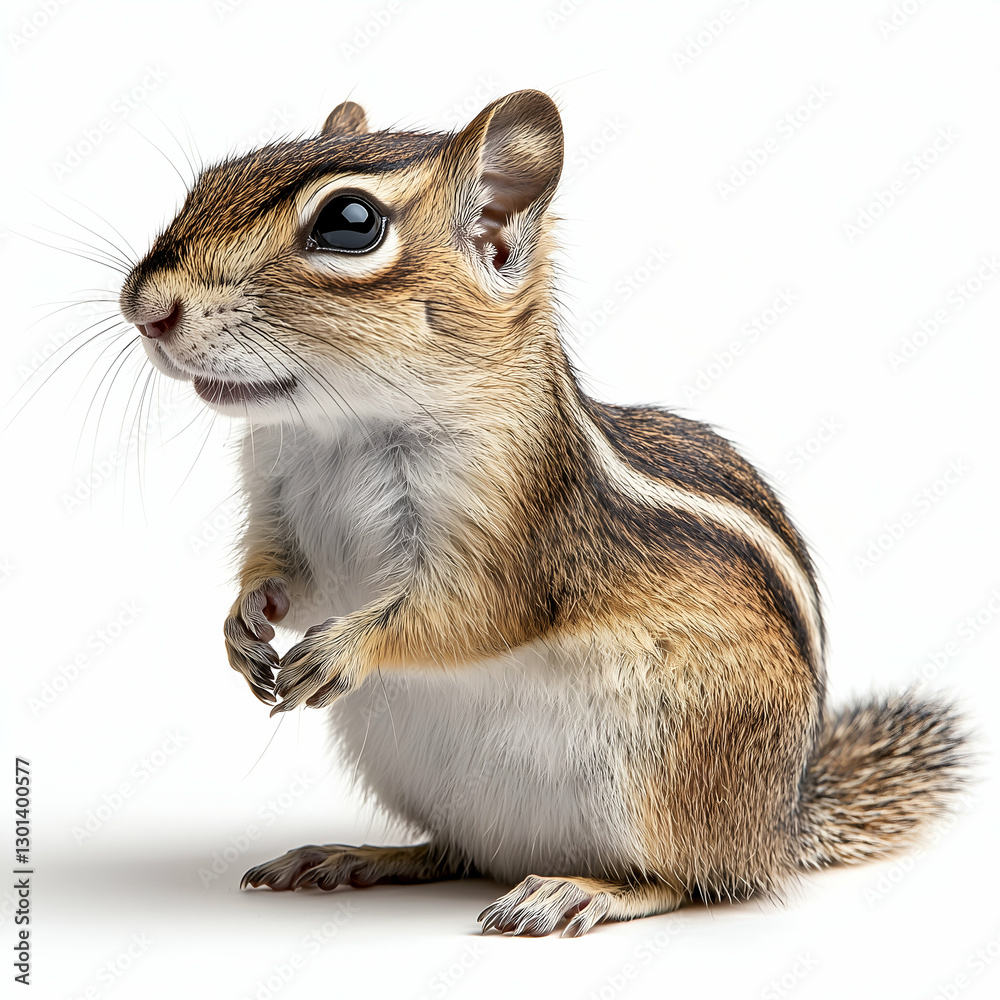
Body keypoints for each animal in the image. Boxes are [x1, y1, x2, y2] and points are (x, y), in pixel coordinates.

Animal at [119, 90, 969, 937]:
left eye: (350, 222)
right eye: (211, 178)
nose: (145, 307)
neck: (339, 430)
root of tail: (782, 824)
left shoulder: (517, 530)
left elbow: (469, 613)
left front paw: (341, 650)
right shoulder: (279, 509)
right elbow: (285, 580)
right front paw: (243, 624)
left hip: (666, 777)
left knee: (692, 878)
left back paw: (579, 890)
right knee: (457, 852)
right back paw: (357, 857)